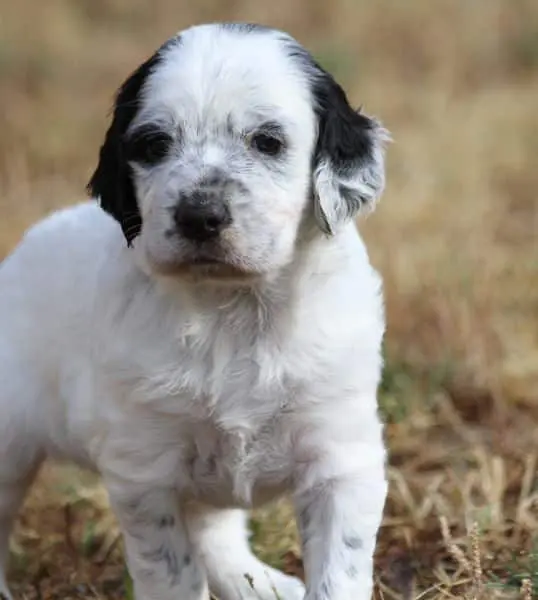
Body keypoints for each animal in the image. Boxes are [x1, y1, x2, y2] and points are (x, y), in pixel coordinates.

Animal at [0, 22, 389, 600]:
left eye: (267, 141)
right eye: (154, 144)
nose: (199, 216)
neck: (233, 309)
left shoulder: (342, 459)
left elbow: (337, 570)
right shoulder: (146, 470)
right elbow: (172, 570)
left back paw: (261, 583)